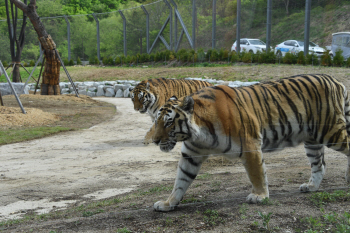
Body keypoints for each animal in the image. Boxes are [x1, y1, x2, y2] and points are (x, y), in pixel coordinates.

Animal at [152, 74, 350, 211]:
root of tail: (336, 80)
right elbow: (181, 180)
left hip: (331, 132)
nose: (154, 140)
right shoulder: (191, 154)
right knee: (319, 165)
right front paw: (168, 203)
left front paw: (260, 196)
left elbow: (257, 174)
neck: (199, 133)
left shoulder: (250, 145)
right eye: (156, 120)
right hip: (312, 140)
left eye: (168, 123)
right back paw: (311, 187)